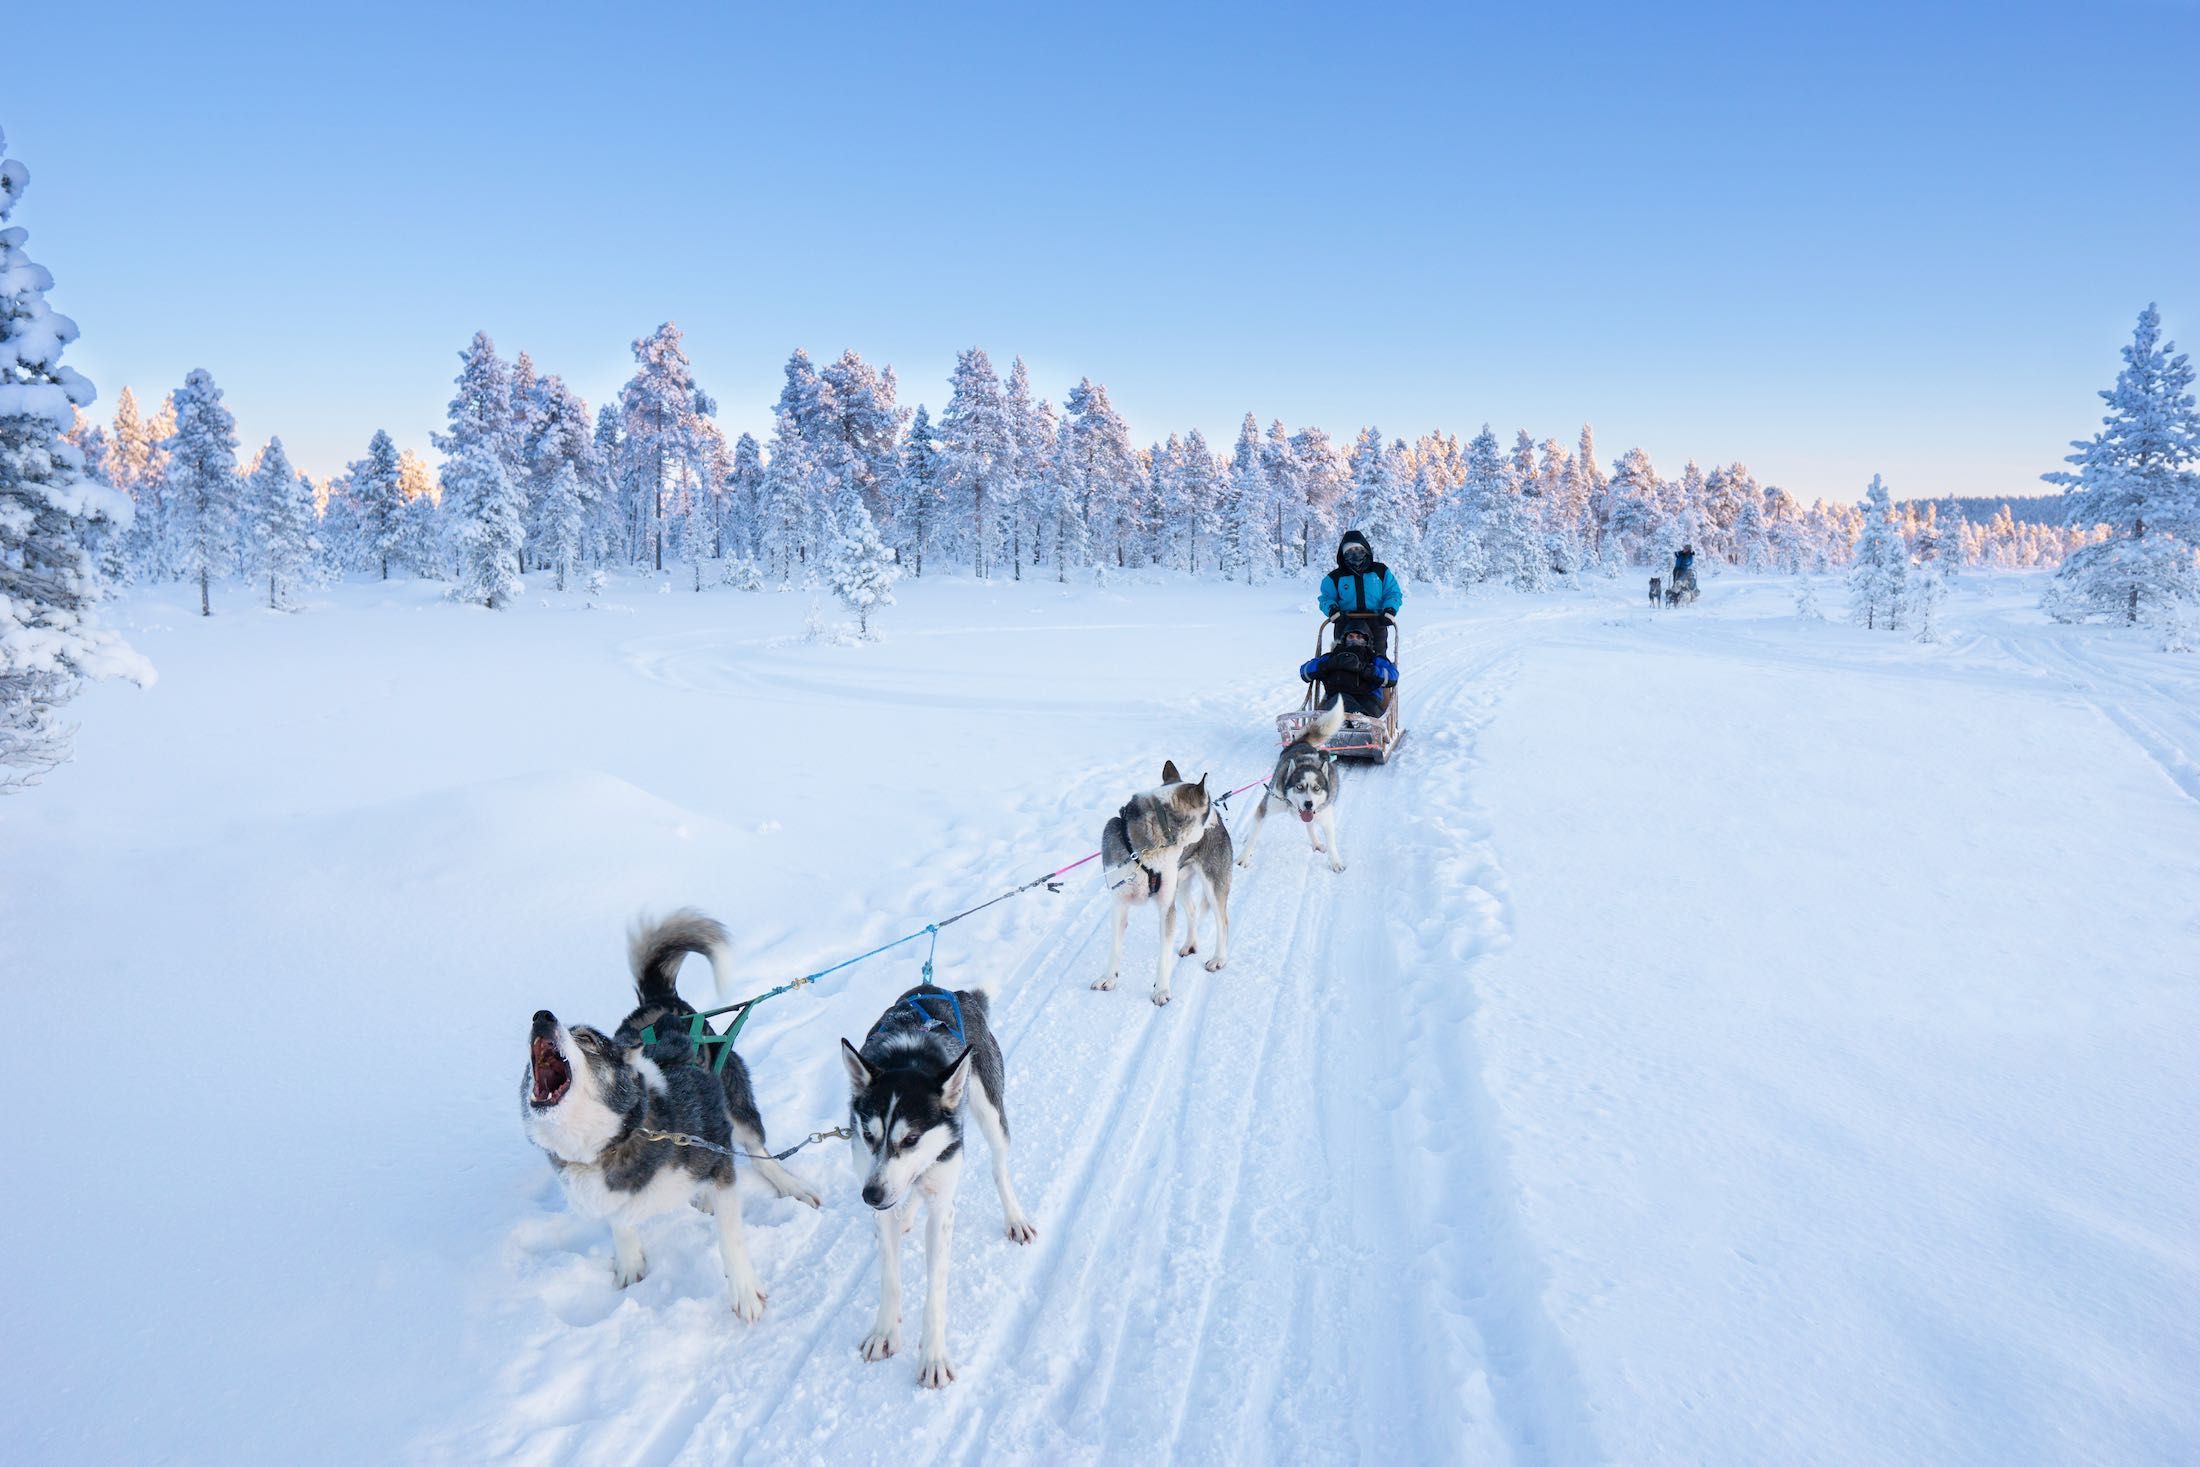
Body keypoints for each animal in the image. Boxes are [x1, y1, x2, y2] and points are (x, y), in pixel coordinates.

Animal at [519, 906, 822, 1319]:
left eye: (587, 1039)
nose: (542, 1016)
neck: (621, 1137)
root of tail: (660, 1001)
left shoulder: (716, 1157)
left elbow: (731, 1236)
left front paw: (744, 1290)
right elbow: (620, 1223)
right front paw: (629, 1261)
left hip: (733, 1094)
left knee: (758, 1150)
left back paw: (791, 1185)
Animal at [836, 985, 1034, 1390]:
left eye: (910, 1138)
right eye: (868, 1135)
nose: (870, 1196)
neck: (909, 1059)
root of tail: (952, 991)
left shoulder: (942, 1207)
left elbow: (936, 1293)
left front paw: (933, 1357)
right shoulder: (882, 1197)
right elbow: (890, 1277)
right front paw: (884, 1333)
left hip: (991, 1114)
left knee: (999, 1168)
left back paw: (1014, 1217)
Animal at [1091, 756, 1232, 1011]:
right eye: (1208, 809)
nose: (1218, 816)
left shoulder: (1166, 907)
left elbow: (1163, 957)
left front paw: (1162, 990)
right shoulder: (1119, 903)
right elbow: (1115, 947)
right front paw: (1108, 977)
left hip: (1213, 885)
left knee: (1222, 922)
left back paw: (1219, 959)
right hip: (1181, 885)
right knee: (1193, 911)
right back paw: (1190, 944)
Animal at [1240, 699, 1337, 870]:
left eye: (1317, 788)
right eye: (1299, 787)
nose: (1308, 804)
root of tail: (1302, 743)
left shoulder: (1324, 815)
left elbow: (1331, 842)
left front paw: (1336, 863)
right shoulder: (1266, 806)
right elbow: (1253, 835)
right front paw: (1243, 858)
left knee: (1310, 825)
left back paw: (1316, 843)